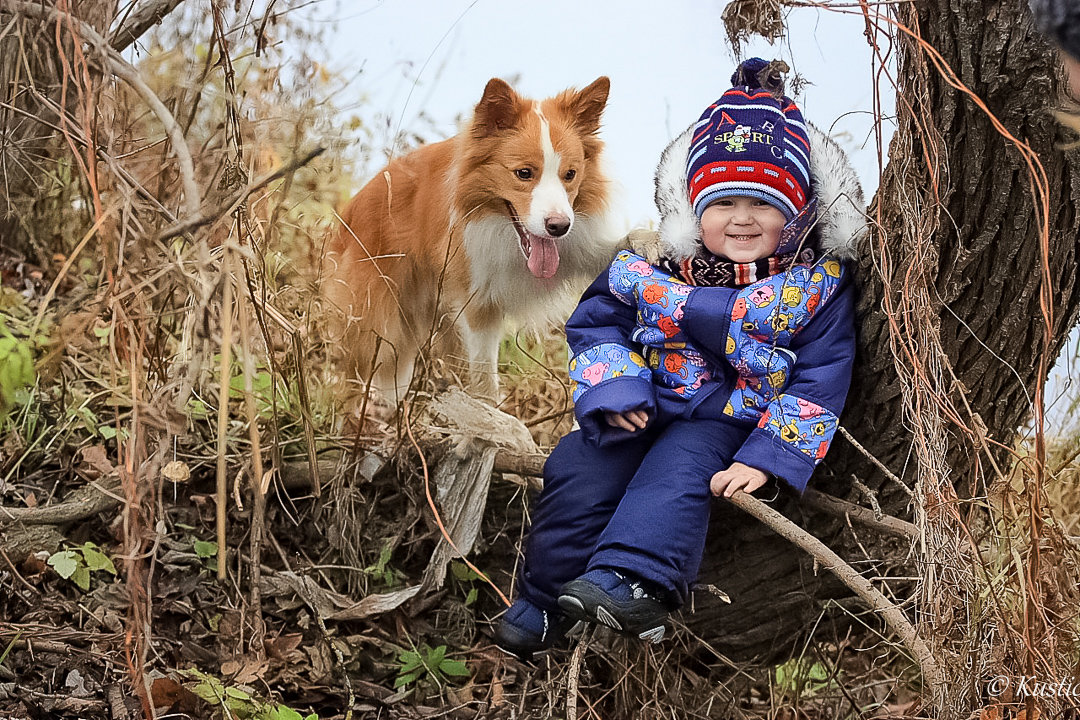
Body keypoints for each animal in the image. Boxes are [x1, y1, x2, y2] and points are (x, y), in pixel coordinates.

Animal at [321, 78, 617, 405]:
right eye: (524, 173)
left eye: (570, 174)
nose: (559, 227)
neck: (503, 229)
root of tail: (349, 212)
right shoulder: (478, 301)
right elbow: (484, 372)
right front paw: (489, 413)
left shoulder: (575, 248)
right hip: (375, 321)